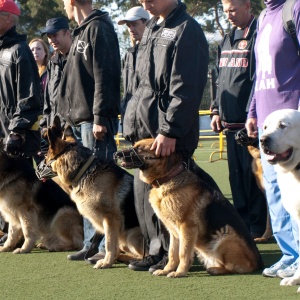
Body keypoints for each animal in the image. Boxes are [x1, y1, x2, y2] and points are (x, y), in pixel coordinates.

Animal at [37, 117, 144, 270]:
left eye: (46, 156)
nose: (36, 170)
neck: (83, 171)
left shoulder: (111, 220)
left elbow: (109, 244)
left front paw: (106, 262)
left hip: (131, 234)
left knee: (142, 256)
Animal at [113, 139, 264, 278]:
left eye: (138, 149)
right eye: (133, 145)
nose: (116, 154)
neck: (168, 178)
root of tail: (259, 263)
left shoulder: (187, 228)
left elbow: (183, 253)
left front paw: (179, 272)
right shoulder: (173, 232)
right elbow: (173, 253)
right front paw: (167, 269)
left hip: (224, 235)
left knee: (238, 268)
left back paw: (216, 270)